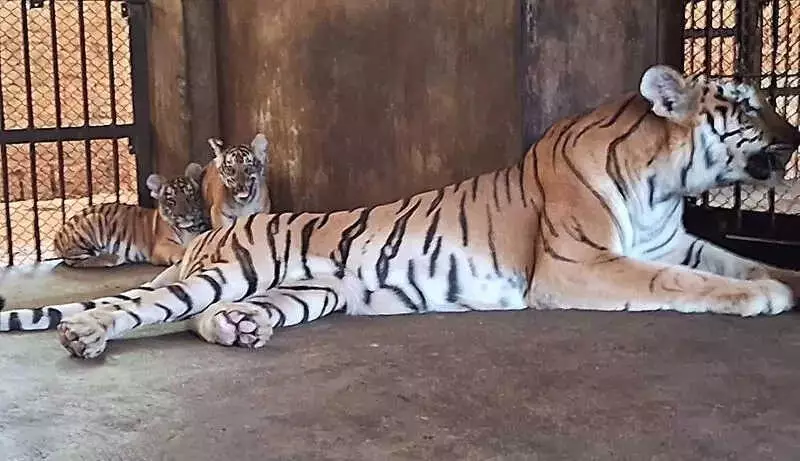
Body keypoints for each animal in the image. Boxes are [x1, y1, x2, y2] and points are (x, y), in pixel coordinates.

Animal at [52, 162, 211, 268]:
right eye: (171, 201)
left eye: (190, 197)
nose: (184, 215)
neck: (190, 229)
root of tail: (58, 233)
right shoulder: (161, 246)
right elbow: (184, 250)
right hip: (93, 220)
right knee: (76, 261)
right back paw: (112, 258)